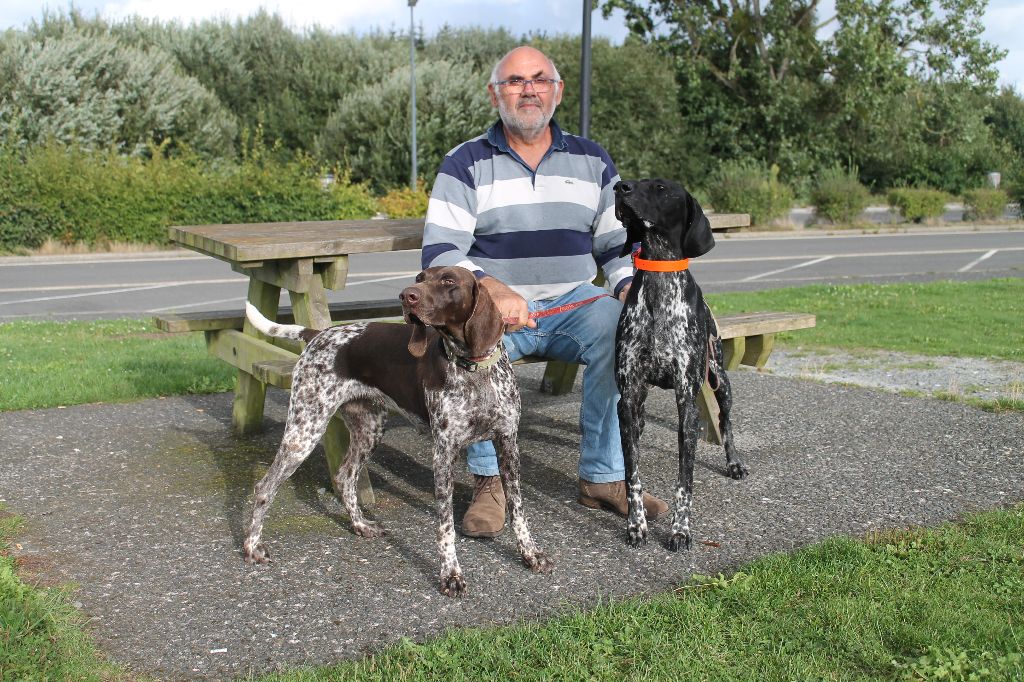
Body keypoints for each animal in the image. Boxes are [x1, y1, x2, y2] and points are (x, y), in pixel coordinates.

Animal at [610, 179, 749, 548]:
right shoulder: (628, 399)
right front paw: (636, 524)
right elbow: (632, 475)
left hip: (720, 380)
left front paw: (680, 530)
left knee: (725, 422)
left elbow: (685, 480)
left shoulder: (687, 399)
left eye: (660, 187)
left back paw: (734, 463)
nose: (620, 186)